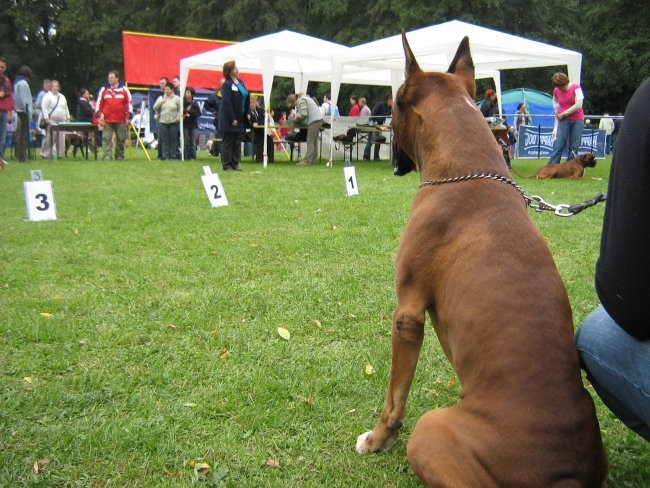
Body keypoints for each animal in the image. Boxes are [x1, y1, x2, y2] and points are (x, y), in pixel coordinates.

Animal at [352, 32, 604, 486]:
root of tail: (565, 476)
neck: (469, 170)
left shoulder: (408, 315)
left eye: (392, 106)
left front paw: (379, 439)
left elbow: (395, 396)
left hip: (431, 430)